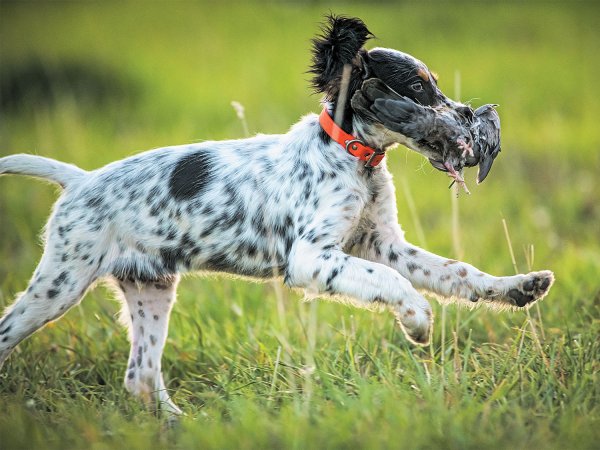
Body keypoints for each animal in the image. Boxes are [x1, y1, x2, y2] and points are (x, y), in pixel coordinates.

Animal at [0, 15, 552, 416]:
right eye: (417, 89)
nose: (467, 119)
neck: (352, 155)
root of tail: (79, 179)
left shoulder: (383, 243)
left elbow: (457, 272)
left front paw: (518, 288)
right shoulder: (312, 257)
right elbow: (391, 283)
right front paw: (416, 319)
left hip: (150, 289)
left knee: (140, 376)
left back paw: (182, 425)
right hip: (61, 281)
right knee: (16, 332)